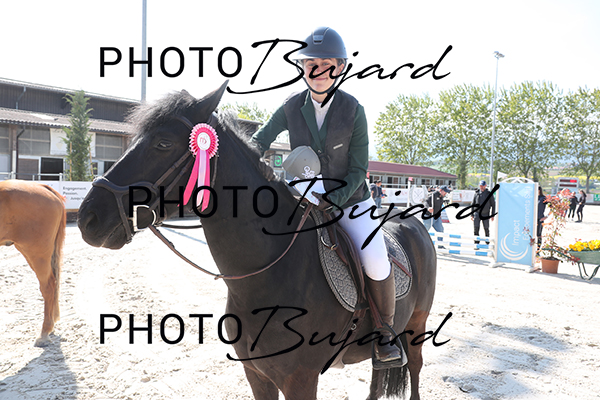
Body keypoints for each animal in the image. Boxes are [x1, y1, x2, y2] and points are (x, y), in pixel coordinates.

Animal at [77, 82, 437, 400]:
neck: (268, 274)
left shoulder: (300, 381)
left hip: (416, 328)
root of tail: (414, 222)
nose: (87, 218)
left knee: (416, 370)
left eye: (163, 143)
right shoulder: (256, 374)